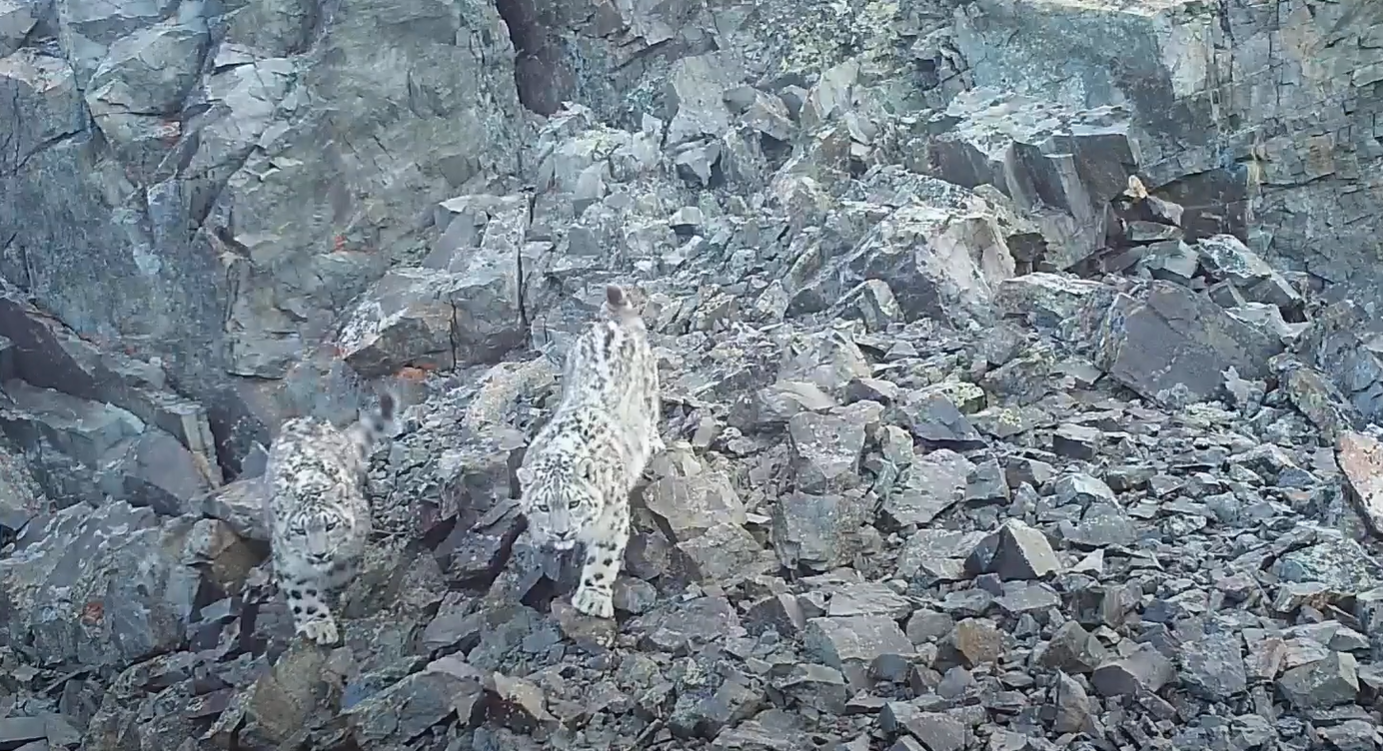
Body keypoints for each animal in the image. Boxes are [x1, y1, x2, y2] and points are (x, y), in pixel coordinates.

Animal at [261, 390, 398, 644]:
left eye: (330, 525)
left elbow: (343, 571)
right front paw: (318, 625)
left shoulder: (354, 546)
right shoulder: (290, 563)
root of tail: (305, 418)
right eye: (299, 530)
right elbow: (303, 594)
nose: (319, 553)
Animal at [520, 284, 666, 619]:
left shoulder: (612, 521)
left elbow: (603, 558)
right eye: (543, 506)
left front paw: (593, 598)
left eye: (574, 502)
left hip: (650, 393)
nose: (560, 533)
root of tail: (609, 325)